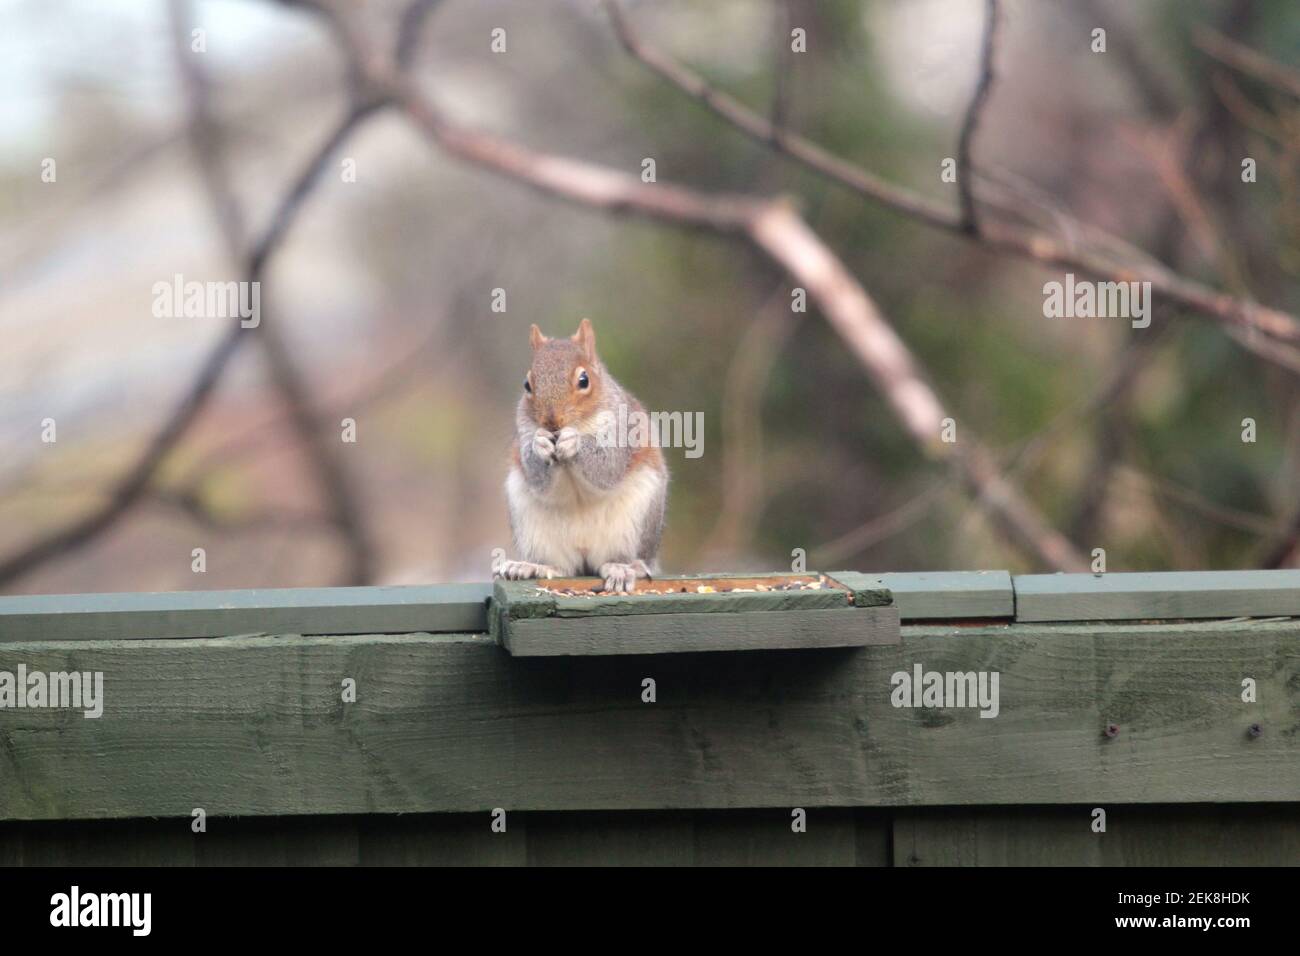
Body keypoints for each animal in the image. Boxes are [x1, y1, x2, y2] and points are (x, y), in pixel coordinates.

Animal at [488, 319, 670, 590]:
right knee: (562, 568)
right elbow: (536, 475)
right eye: (527, 385)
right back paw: (531, 566)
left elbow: (607, 467)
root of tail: (585, 553)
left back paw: (623, 569)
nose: (552, 423)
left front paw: (574, 442)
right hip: (532, 526)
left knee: (626, 560)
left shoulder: (622, 429)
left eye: (584, 380)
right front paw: (540, 445)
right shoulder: (525, 432)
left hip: (640, 519)